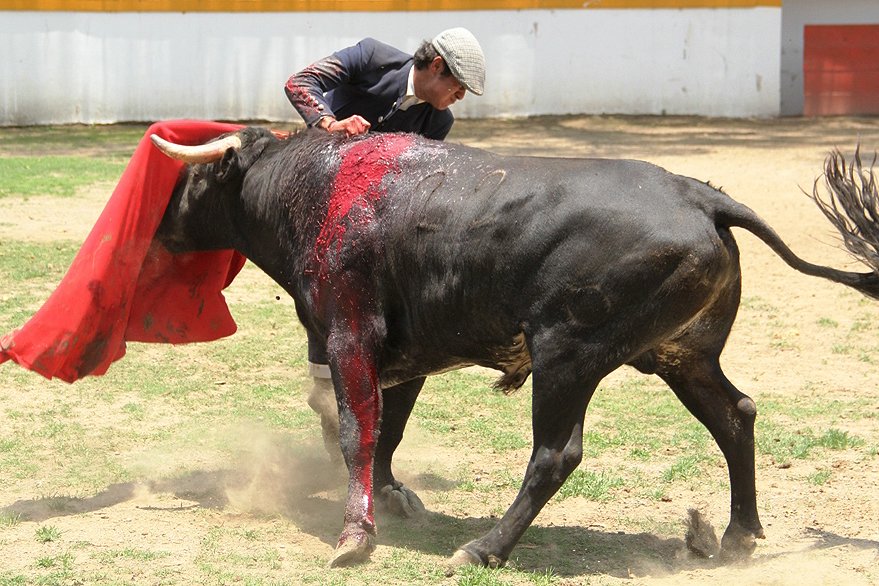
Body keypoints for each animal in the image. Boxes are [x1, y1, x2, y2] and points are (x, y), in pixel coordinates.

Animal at [150, 126, 879, 571]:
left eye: (190, 183)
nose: (158, 231)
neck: (311, 189)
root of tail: (702, 197)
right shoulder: (404, 354)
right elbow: (387, 431)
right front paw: (392, 501)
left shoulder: (348, 335)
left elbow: (359, 429)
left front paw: (355, 538)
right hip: (683, 354)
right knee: (735, 415)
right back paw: (735, 536)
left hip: (568, 353)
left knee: (556, 453)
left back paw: (484, 547)